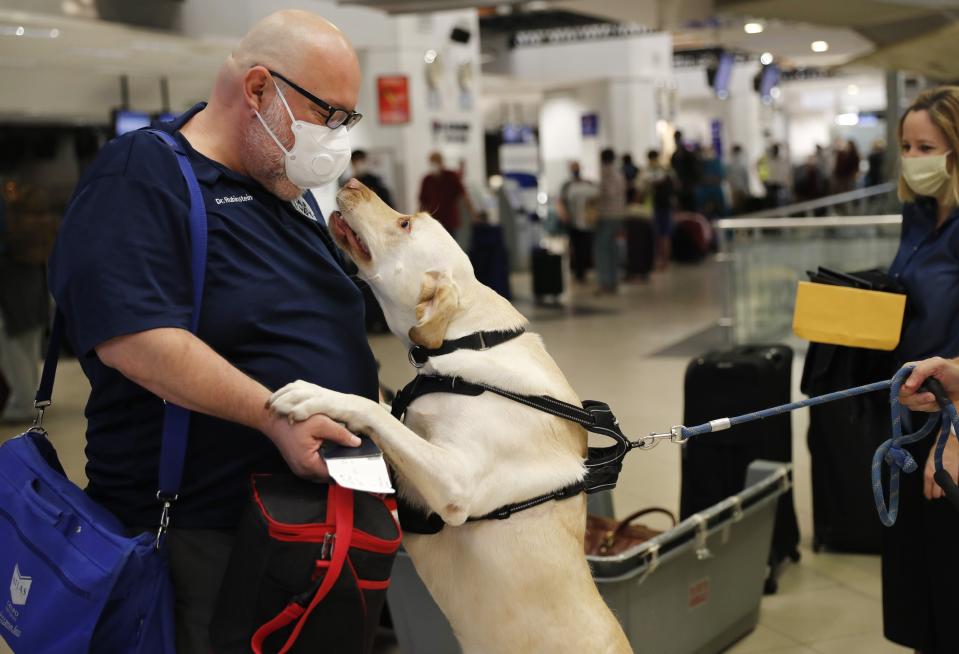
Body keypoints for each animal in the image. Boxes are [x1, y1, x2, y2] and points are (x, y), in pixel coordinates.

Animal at [270, 181, 632, 654]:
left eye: (405, 223)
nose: (349, 183)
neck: (469, 341)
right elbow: (387, 411)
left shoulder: (454, 482)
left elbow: (371, 410)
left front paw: (314, 395)